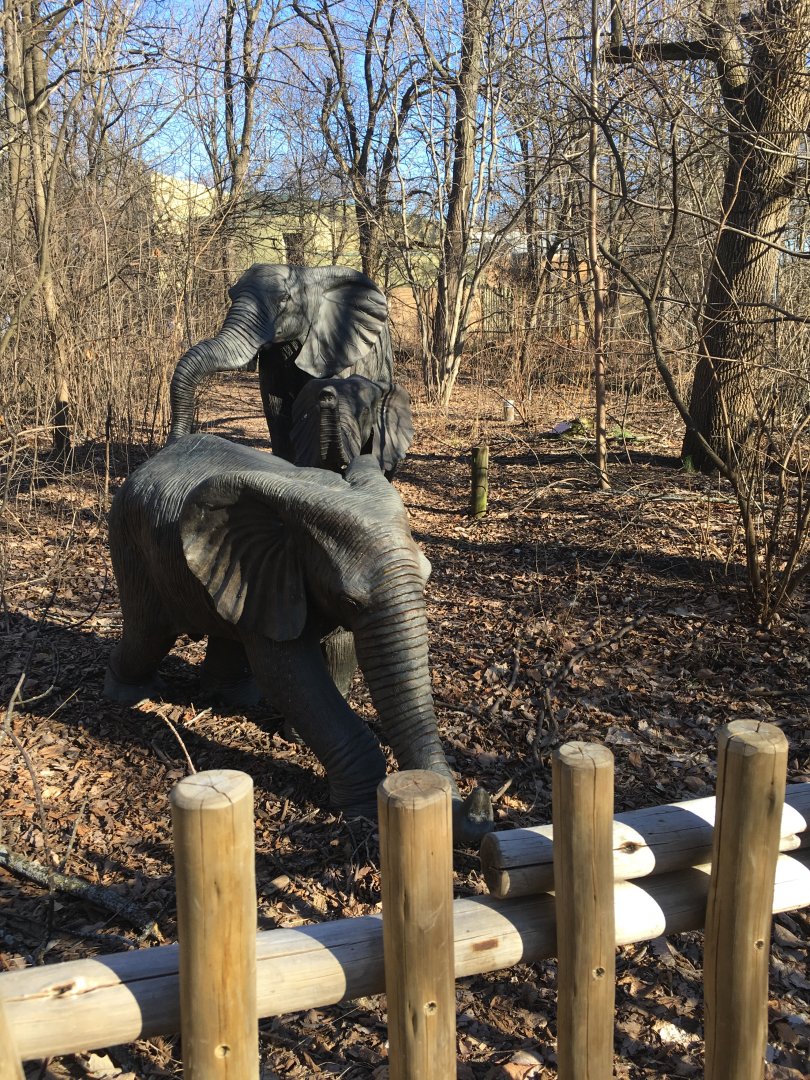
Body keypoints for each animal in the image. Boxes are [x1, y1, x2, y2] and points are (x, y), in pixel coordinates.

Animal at [103, 433, 493, 846]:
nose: (477, 799)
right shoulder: (278, 575)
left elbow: (340, 651)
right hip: (131, 543)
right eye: (350, 599)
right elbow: (290, 674)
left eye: (427, 574)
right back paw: (130, 695)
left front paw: (297, 740)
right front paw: (360, 807)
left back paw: (232, 699)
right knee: (148, 635)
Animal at [169, 264, 394, 456]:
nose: (175, 444)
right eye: (231, 295)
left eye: (284, 299)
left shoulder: (335, 350)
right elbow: (276, 412)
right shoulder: (273, 360)